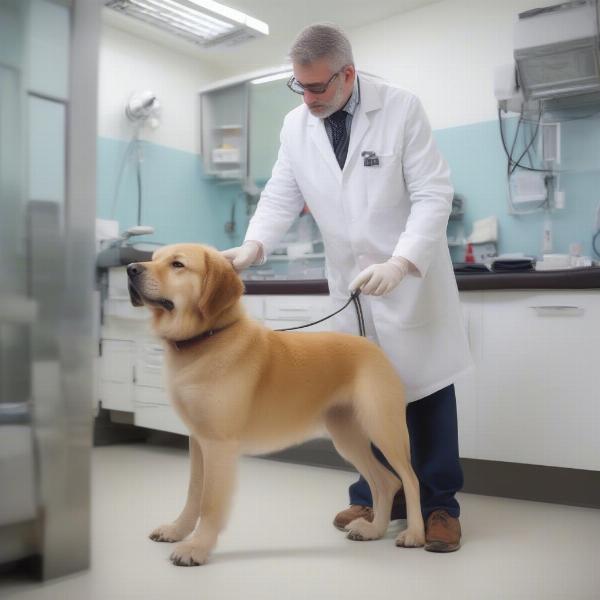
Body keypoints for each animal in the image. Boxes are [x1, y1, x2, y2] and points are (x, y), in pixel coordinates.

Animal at [127, 241, 426, 564]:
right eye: (153, 258)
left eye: (177, 264)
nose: (130, 269)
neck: (209, 339)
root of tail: (370, 345)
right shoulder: (198, 440)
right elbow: (194, 493)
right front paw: (178, 530)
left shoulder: (218, 444)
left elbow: (210, 502)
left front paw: (198, 547)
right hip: (348, 438)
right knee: (385, 482)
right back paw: (374, 530)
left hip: (384, 429)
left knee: (409, 479)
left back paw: (415, 534)